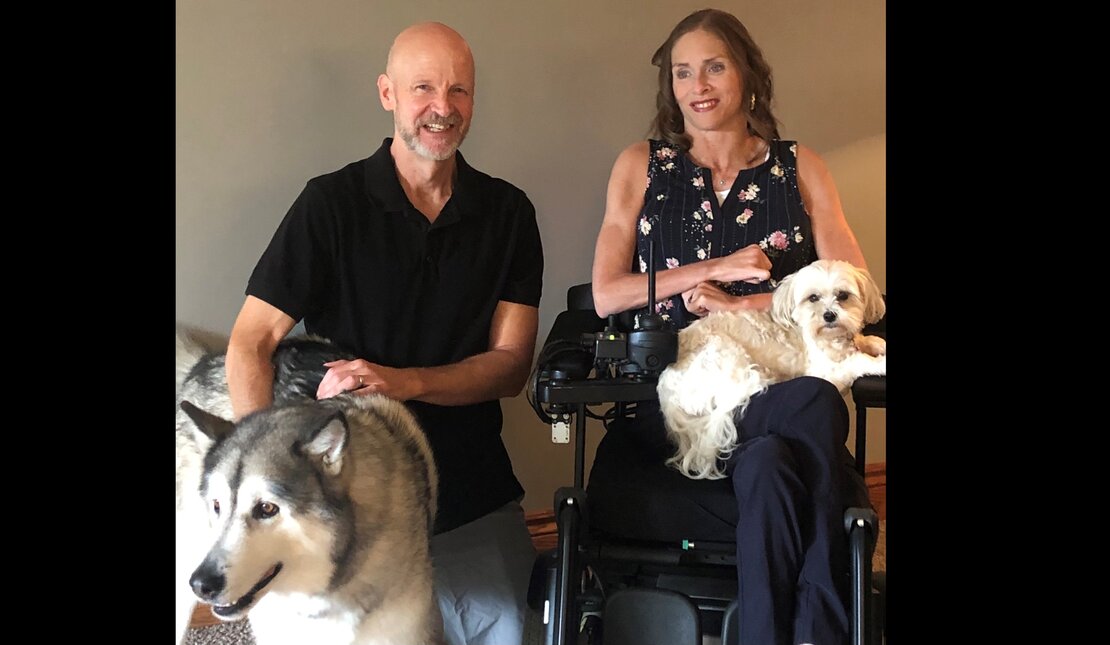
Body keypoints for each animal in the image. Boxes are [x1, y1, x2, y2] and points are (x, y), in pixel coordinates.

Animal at [657, 258, 883, 479]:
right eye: (813, 298)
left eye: (843, 295)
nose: (829, 315)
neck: (831, 338)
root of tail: (666, 390)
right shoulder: (826, 373)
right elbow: (857, 361)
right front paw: (880, 363)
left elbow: (867, 341)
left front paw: (876, 344)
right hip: (728, 356)